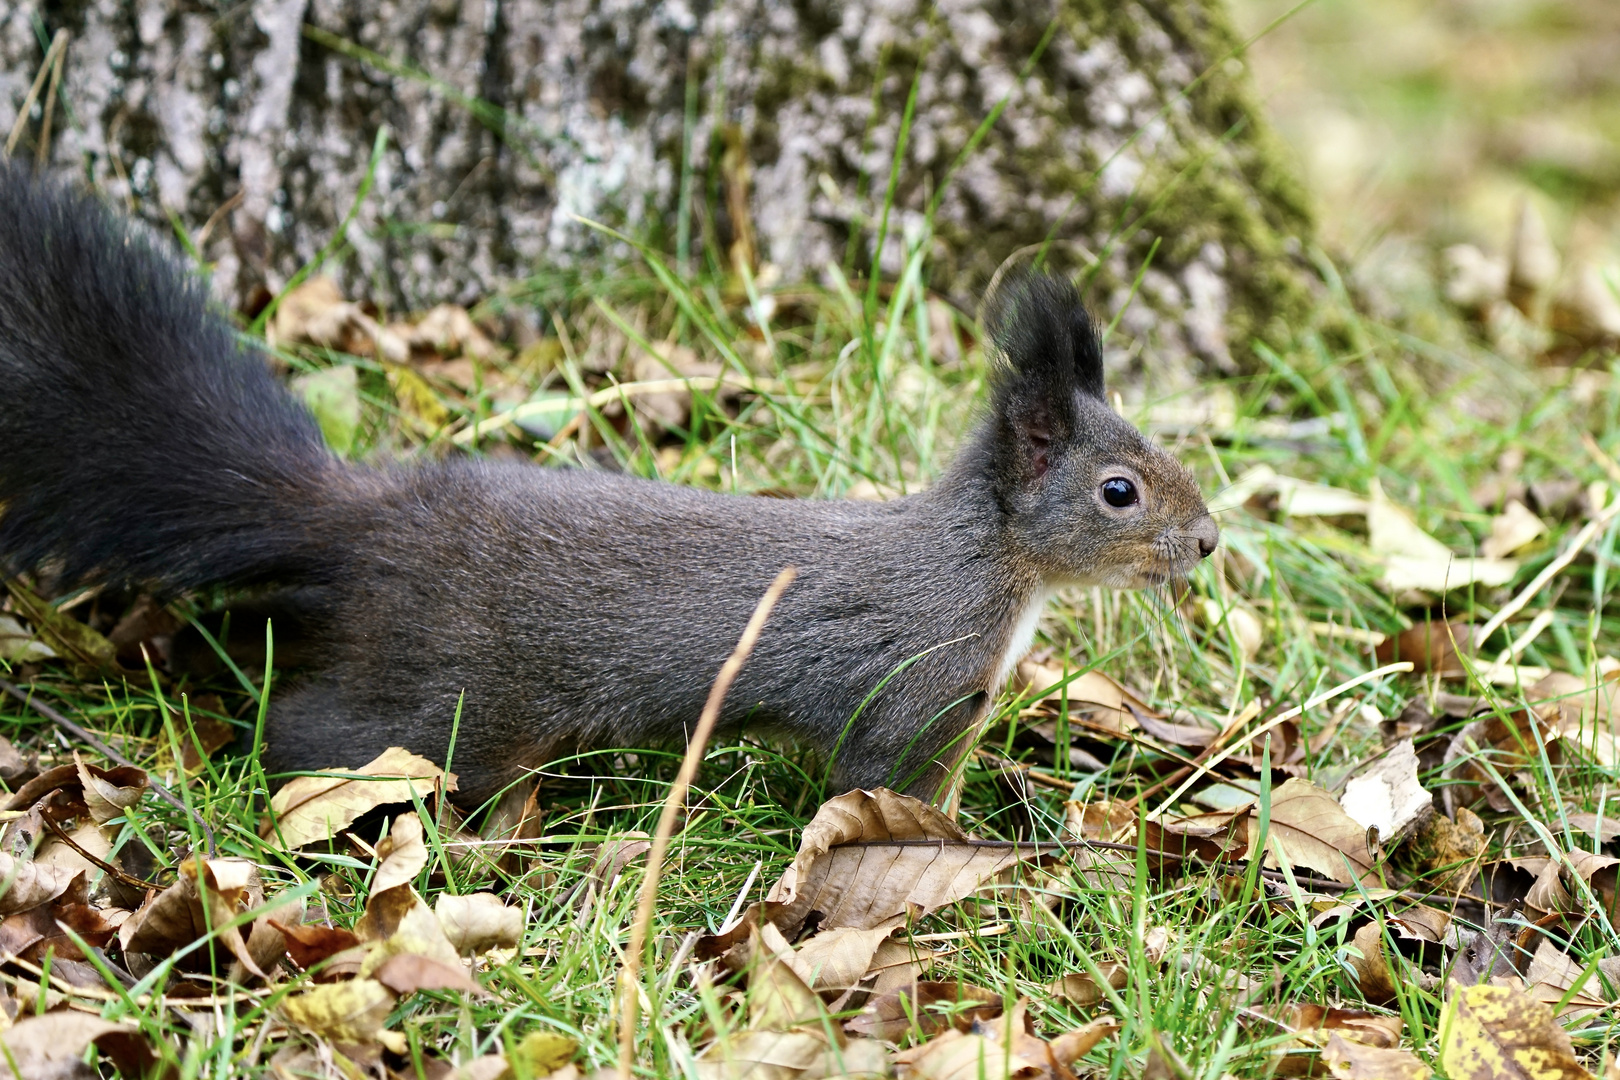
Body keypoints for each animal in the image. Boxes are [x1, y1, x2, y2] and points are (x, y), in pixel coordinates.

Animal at [0, 165, 1218, 809]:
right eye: (1120, 492)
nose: (1208, 541)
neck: (990, 565)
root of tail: (372, 520)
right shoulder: (909, 688)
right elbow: (883, 790)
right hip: (452, 692)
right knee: (320, 730)